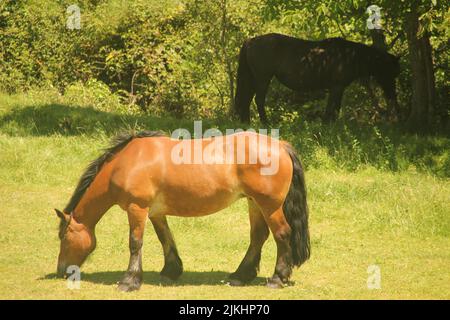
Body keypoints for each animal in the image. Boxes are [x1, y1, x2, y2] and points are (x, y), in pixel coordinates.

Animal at [54, 129, 310, 290]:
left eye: (64, 237)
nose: (61, 271)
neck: (127, 163)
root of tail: (281, 146)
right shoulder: (155, 212)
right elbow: (165, 238)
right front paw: (171, 270)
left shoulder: (137, 208)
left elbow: (135, 243)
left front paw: (129, 281)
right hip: (254, 203)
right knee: (258, 236)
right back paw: (240, 276)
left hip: (269, 206)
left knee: (282, 235)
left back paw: (277, 278)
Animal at [234, 32, 400, 124]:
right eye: (389, 71)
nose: (392, 96)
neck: (349, 56)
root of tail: (250, 40)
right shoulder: (337, 87)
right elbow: (333, 108)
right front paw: (329, 126)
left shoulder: (337, 88)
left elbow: (334, 107)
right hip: (262, 79)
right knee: (258, 100)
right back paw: (266, 123)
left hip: (253, 78)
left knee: (246, 99)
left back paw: (246, 123)